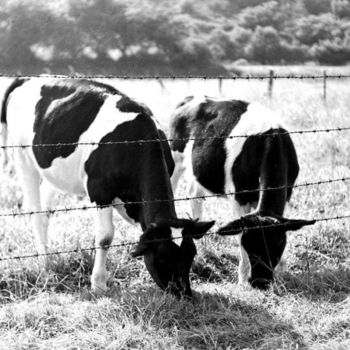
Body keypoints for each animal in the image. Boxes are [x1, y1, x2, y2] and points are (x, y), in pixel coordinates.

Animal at [0, 80, 213, 298]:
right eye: (163, 257)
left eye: (191, 254)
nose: (184, 293)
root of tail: (29, 79)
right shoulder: (100, 192)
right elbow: (105, 237)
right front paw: (98, 285)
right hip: (22, 157)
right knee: (34, 212)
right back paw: (45, 264)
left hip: (55, 172)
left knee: (45, 210)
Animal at [170, 95, 314, 290]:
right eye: (250, 246)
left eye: (278, 246)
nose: (261, 282)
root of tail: (192, 97)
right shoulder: (238, 197)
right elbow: (238, 234)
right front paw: (243, 279)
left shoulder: (287, 194)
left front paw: (282, 273)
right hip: (174, 158)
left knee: (194, 194)